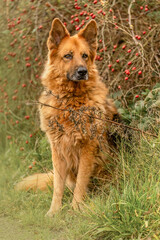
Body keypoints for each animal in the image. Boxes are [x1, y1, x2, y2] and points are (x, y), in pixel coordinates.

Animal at [15, 18, 119, 218]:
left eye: (85, 55)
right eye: (68, 56)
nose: (82, 72)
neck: (71, 102)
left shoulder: (87, 149)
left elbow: (81, 183)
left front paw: (76, 208)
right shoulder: (57, 150)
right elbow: (58, 187)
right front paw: (54, 211)